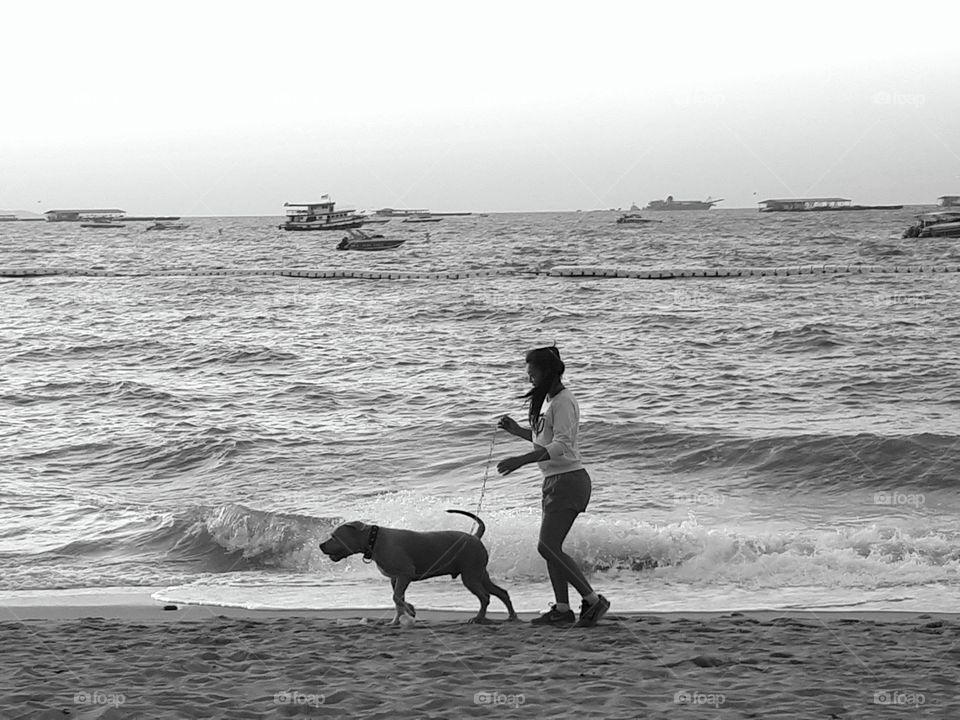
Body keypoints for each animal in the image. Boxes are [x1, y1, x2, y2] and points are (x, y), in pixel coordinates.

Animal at [320, 506, 516, 624]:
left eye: (334, 536)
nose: (321, 545)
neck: (373, 540)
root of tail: (476, 536)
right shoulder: (395, 579)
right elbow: (397, 599)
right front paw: (396, 620)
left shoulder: (404, 575)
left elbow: (397, 598)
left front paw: (411, 610)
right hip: (479, 574)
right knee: (501, 593)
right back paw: (512, 616)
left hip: (470, 576)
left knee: (485, 597)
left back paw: (478, 617)